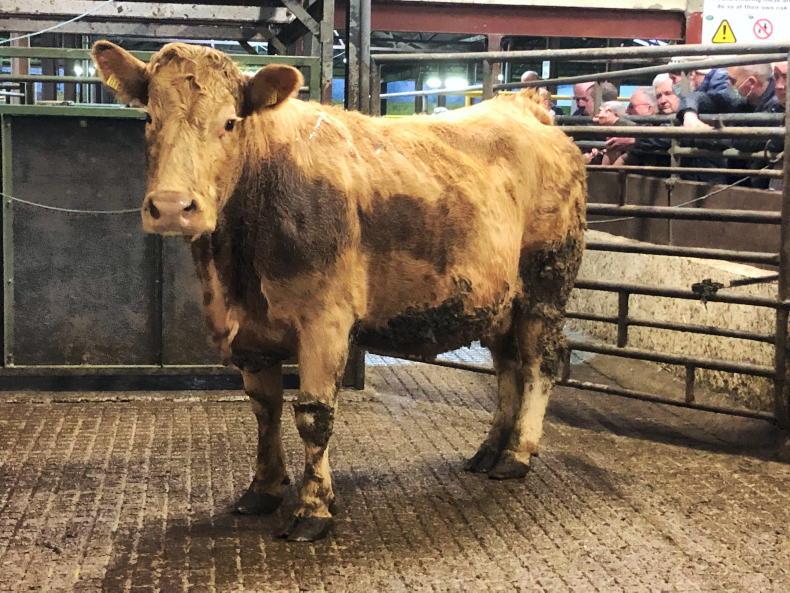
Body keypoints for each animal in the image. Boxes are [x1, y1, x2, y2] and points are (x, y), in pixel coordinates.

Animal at [91, 41, 586, 542]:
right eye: (149, 117)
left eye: (229, 122)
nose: (173, 206)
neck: (237, 266)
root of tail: (523, 106)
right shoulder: (248, 333)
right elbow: (264, 408)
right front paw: (263, 489)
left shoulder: (325, 320)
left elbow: (313, 414)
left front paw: (312, 508)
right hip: (500, 299)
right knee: (507, 366)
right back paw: (489, 449)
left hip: (545, 284)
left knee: (539, 363)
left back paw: (516, 454)